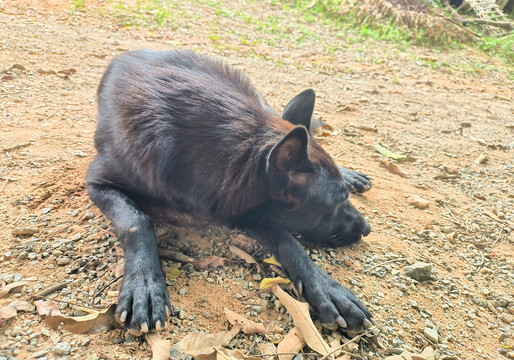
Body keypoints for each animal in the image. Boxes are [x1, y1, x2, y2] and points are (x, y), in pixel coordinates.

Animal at [86, 49, 370, 334]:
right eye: (336, 204)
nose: (367, 229)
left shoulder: (243, 211)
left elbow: (288, 242)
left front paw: (325, 287)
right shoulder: (97, 181)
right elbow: (136, 221)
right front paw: (144, 283)